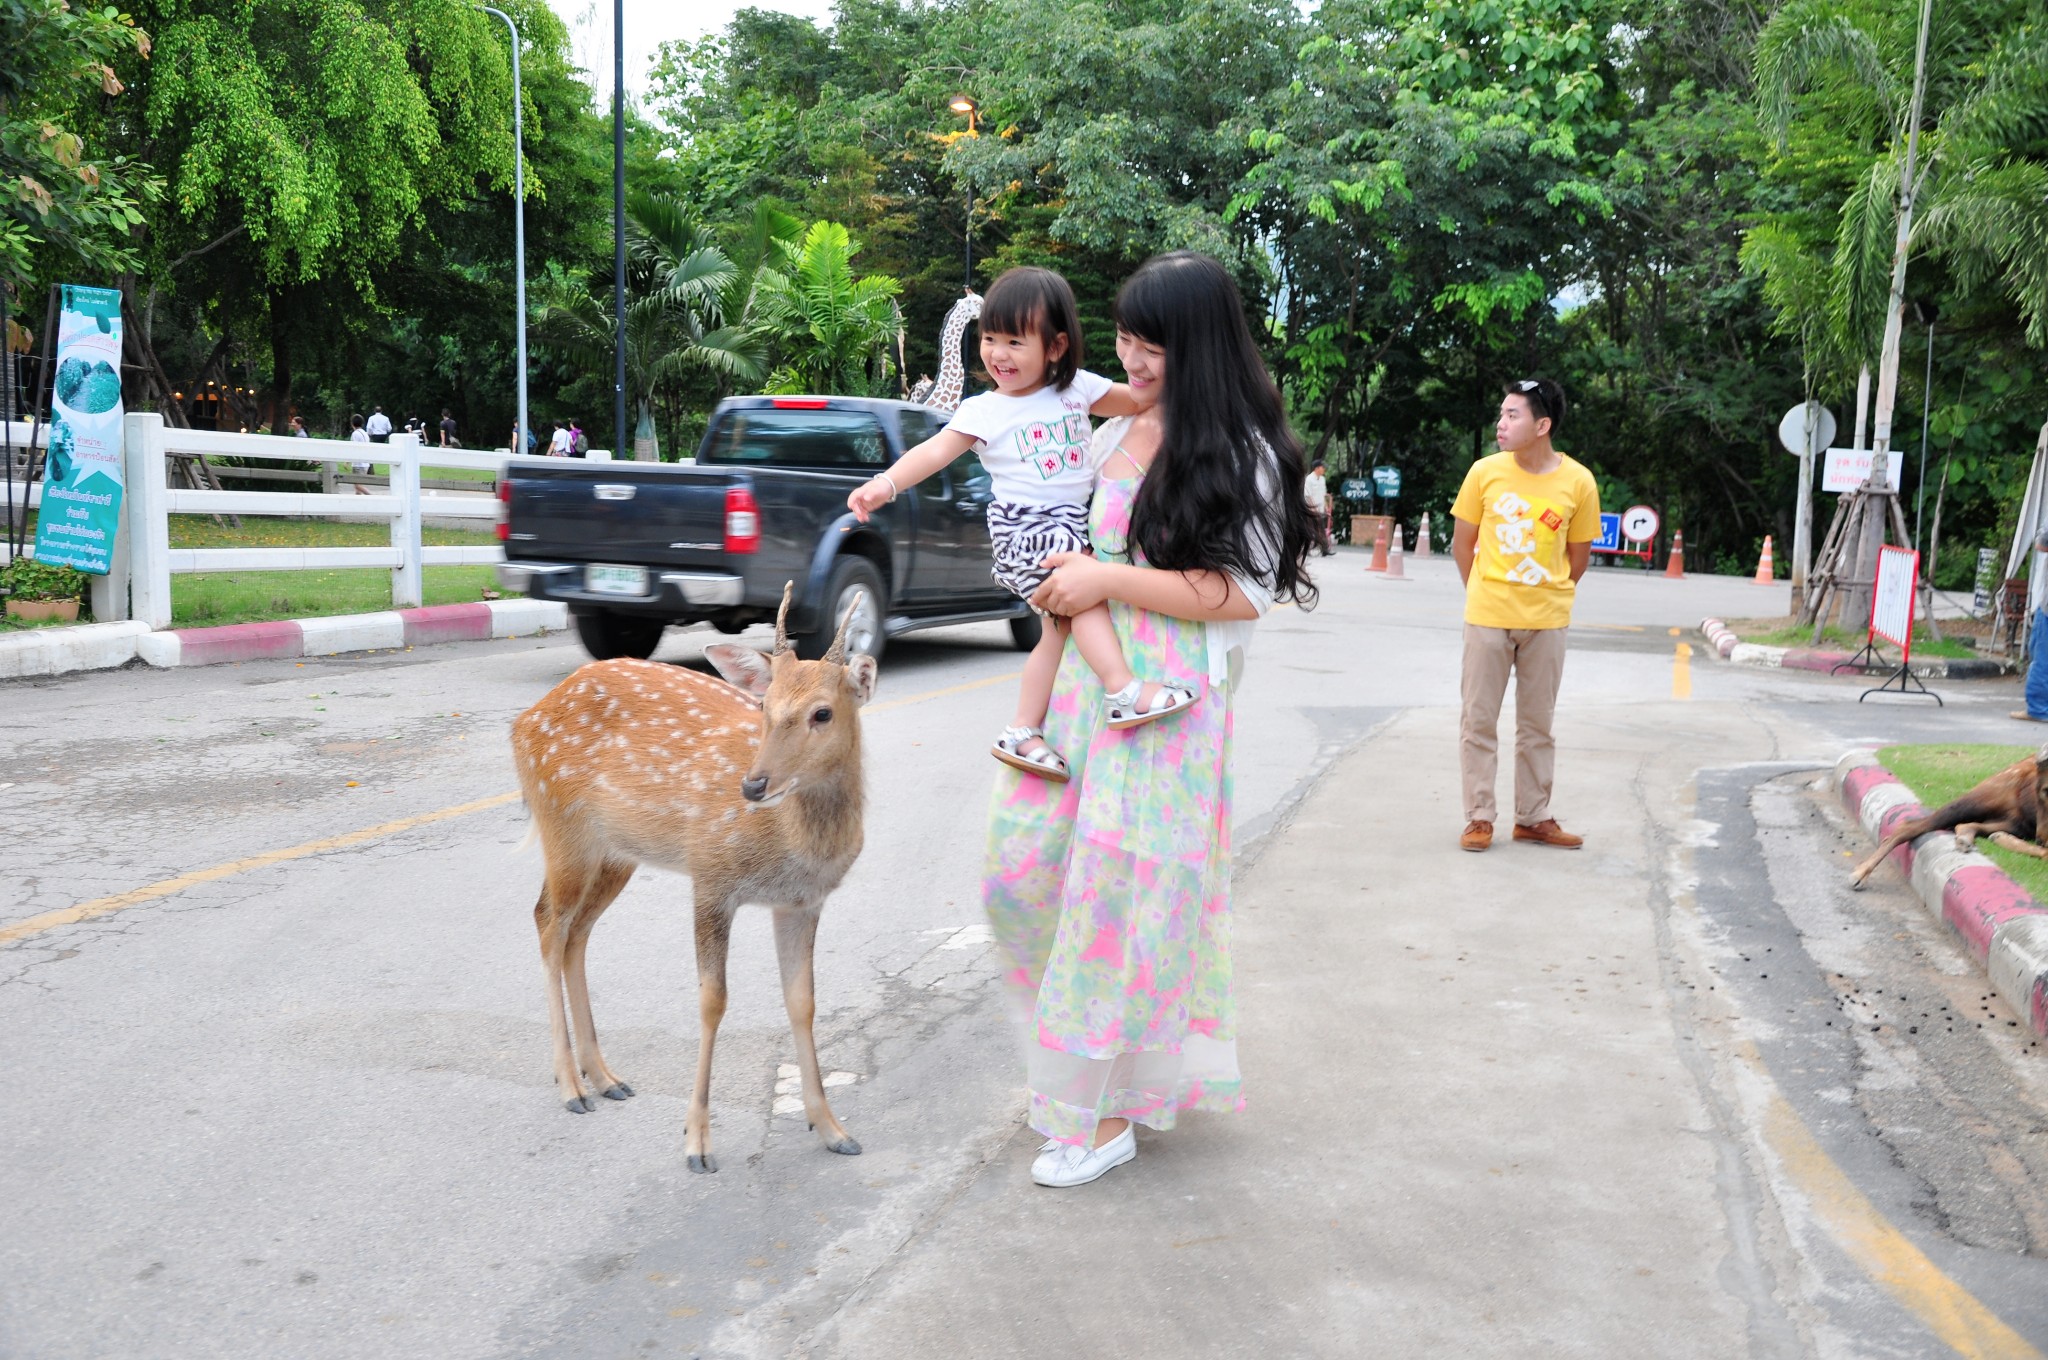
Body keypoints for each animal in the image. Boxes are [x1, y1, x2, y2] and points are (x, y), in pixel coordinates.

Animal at [507, 589, 876, 1171]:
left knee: (576, 933)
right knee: (548, 922)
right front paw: (697, 1141)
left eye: (823, 712)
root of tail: (523, 723)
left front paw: (832, 1128)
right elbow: (712, 1001)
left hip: (616, 853)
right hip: (561, 825)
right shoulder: (711, 875)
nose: (753, 785)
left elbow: (803, 1001)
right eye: (764, 707)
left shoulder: (801, 902)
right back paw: (571, 1086)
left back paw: (605, 1077)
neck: (790, 843)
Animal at [1851, 749, 2048, 888]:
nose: (2041, 837)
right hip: (1977, 800)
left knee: (1966, 825)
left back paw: (1973, 838)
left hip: (2016, 822)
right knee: (1909, 825)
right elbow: (2045, 854)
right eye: (2043, 789)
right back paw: (1860, 873)